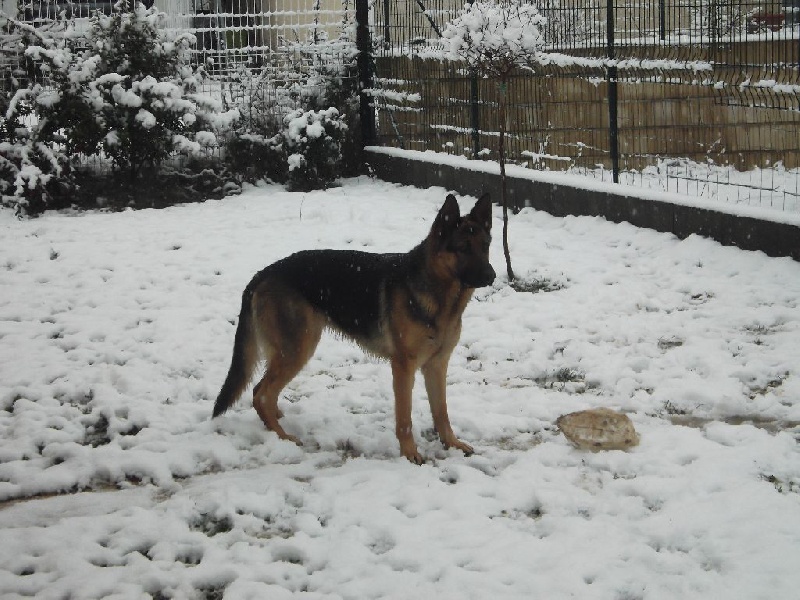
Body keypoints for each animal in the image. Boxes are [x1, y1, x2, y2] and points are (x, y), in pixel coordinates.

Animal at [212, 193, 494, 464]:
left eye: (486, 246)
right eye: (462, 248)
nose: (491, 276)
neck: (439, 292)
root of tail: (262, 274)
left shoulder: (437, 365)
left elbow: (442, 411)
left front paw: (451, 443)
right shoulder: (404, 367)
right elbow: (405, 417)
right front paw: (409, 453)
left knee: (265, 393)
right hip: (297, 350)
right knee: (260, 393)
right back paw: (282, 437)